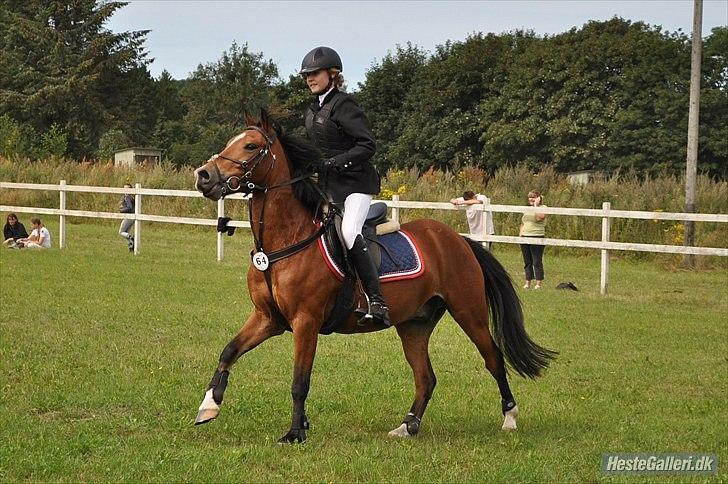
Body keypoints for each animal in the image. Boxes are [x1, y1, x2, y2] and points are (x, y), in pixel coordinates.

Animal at [193, 110, 556, 443]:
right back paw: (407, 426)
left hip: (469, 311)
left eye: (250, 146)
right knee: (426, 377)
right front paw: (209, 406)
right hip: (414, 324)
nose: (203, 176)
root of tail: (456, 239)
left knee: (493, 358)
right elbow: (229, 351)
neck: (283, 242)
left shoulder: (306, 321)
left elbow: (299, 381)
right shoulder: (268, 318)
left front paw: (295, 433)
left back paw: (509, 417)